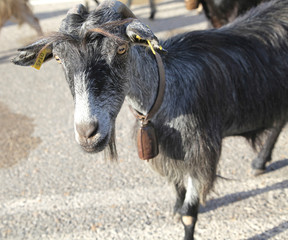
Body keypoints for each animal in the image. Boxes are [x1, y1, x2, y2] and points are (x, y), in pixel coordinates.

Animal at [12, 0, 288, 239]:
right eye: (59, 58)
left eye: (121, 48)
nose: (88, 133)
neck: (167, 88)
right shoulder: (168, 149)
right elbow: (176, 184)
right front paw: (176, 208)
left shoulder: (200, 153)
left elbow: (190, 214)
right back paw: (261, 161)